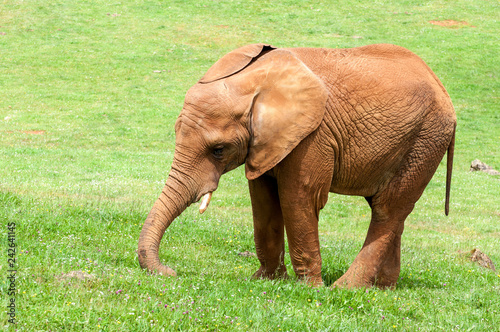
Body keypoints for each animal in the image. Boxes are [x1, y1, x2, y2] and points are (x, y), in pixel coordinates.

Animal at [138, 43, 458, 288]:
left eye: (218, 150)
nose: (170, 272)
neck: (257, 82)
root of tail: (441, 86)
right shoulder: (266, 142)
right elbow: (263, 199)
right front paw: (264, 281)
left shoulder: (312, 136)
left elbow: (299, 197)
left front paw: (309, 289)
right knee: (391, 210)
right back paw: (384, 288)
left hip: (426, 139)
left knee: (388, 210)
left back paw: (345, 288)